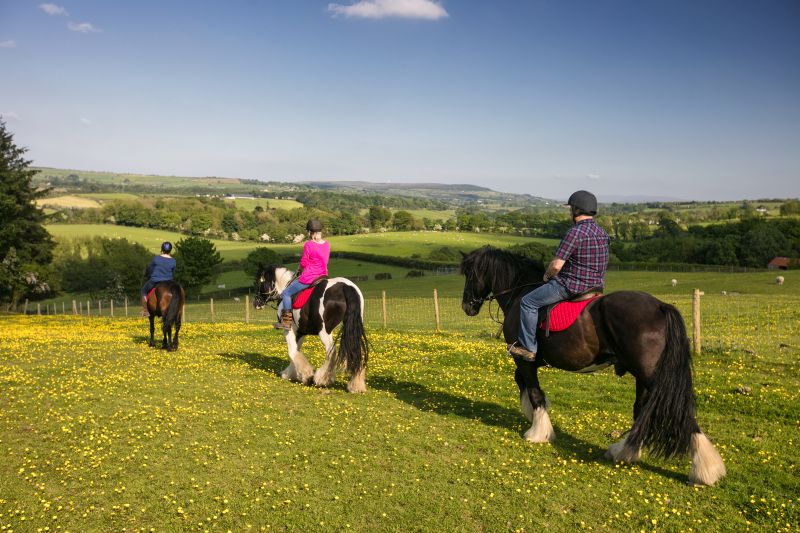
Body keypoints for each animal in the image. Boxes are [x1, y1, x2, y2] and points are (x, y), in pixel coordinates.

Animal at [460, 246, 728, 486]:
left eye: (470, 274)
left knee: (681, 413)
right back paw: (624, 452)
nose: (467, 307)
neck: (520, 293)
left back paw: (705, 470)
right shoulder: (528, 362)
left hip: (652, 375)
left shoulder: (524, 358)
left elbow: (534, 391)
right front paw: (533, 416)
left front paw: (538, 432)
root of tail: (660, 306)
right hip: (643, 376)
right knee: (641, 410)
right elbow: (523, 384)